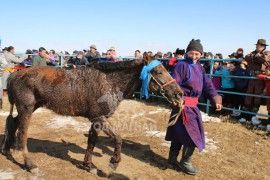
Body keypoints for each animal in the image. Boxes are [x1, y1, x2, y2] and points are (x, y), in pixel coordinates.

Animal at [0, 52, 184, 174]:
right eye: (159, 72)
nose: (179, 94)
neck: (109, 81)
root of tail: (16, 75)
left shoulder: (95, 120)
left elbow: (91, 142)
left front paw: (88, 164)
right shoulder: (100, 118)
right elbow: (118, 138)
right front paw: (113, 162)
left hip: (32, 106)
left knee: (13, 123)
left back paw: (6, 150)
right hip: (26, 108)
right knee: (22, 134)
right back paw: (29, 165)